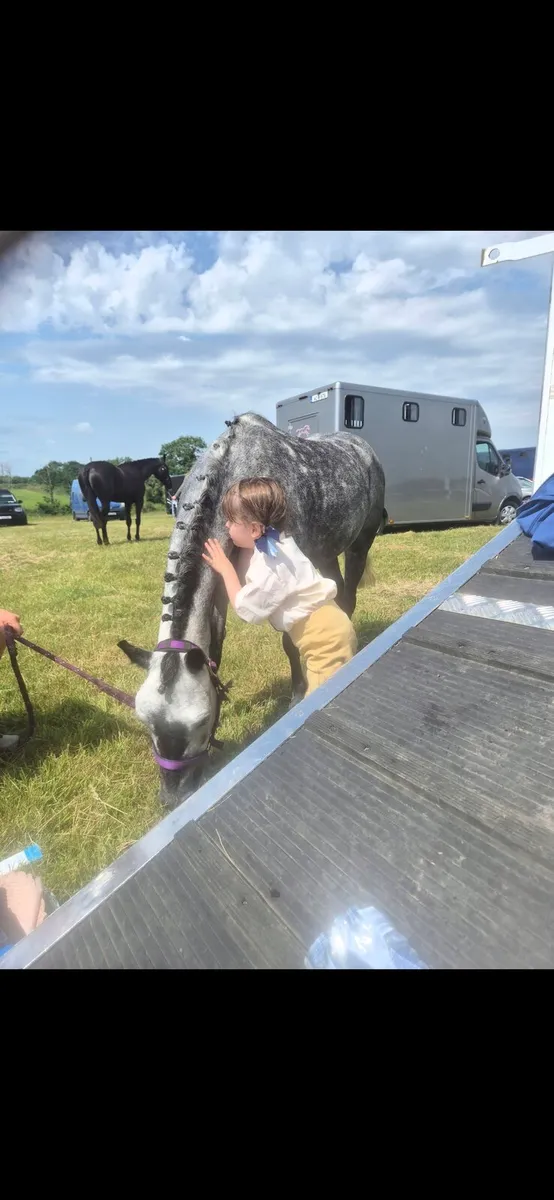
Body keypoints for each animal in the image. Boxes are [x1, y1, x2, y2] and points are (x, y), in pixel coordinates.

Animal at [118, 413, 385, 808]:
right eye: (146, 723)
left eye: (200, 722)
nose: (172, 797)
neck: (233, 476)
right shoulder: (219, 584)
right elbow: (215, 646)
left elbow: (289, 641)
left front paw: (297, 696)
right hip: (325, 552)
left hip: (359, 543)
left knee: (347, 595)